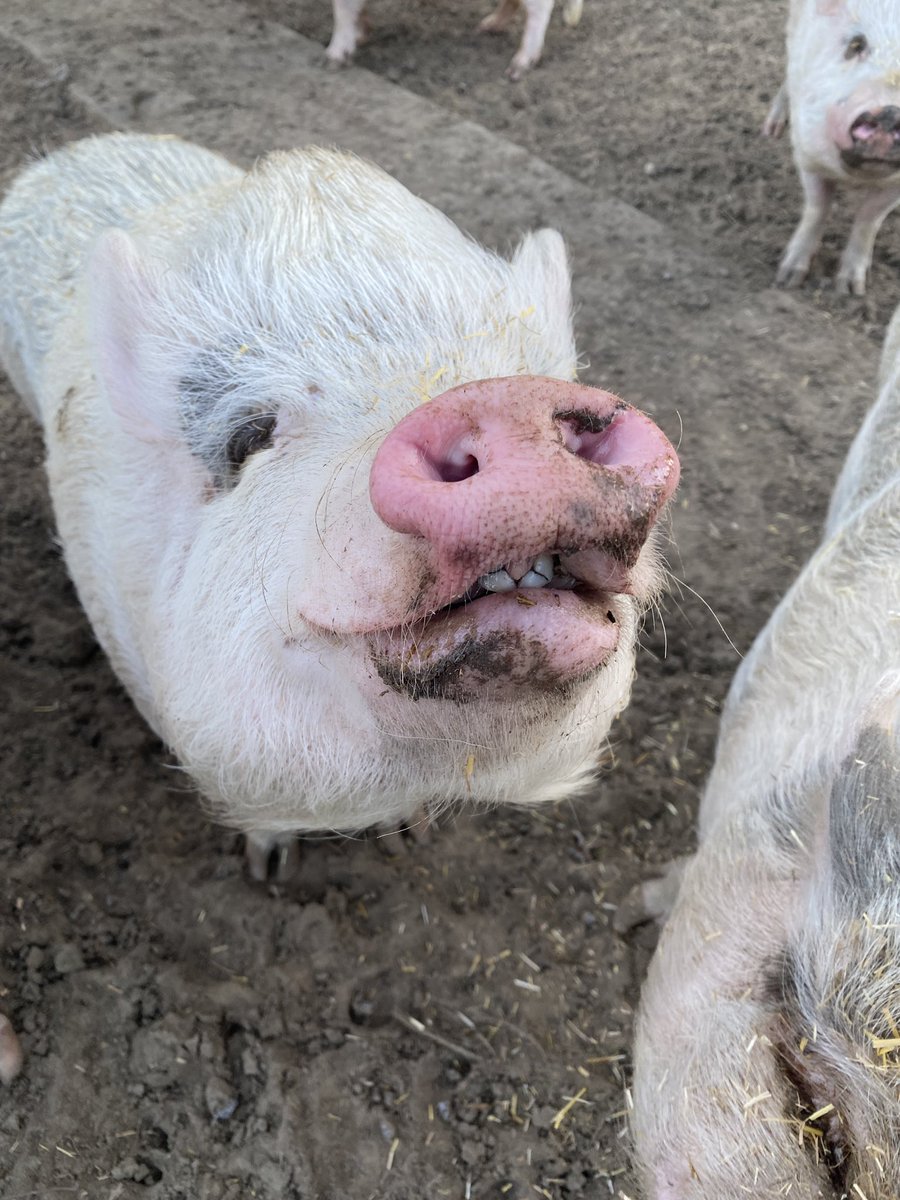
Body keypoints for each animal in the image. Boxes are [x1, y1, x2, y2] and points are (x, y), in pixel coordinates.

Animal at [324, 0, 585, 79]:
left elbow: (342, 9)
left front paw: (333, 59)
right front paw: (362, 36)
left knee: (540, 8)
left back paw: (517, 69)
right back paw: (487, 26)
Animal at [763, 0, 900, 295]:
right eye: (856, 45)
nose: (890, 113)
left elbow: (869, 219)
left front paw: (851, 290)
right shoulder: (807, 151)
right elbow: (818, 207)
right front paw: (787, 278)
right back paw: (771, 129)